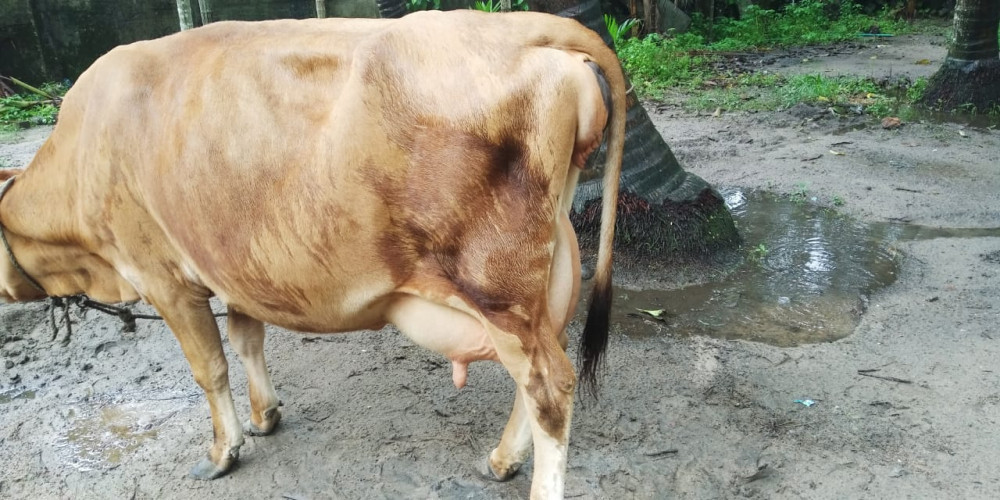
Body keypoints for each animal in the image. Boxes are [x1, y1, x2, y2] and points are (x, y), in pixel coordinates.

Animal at [0, 10, 624, 499]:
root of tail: (526, 26)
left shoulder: (163, 277)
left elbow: (209, 367)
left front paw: (223, 451)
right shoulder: (236, 263)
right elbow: (246, 339)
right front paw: (265, 416)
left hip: (495, 282)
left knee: (549, 384)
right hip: (541, 272)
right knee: (542, 366)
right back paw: (501, 460)